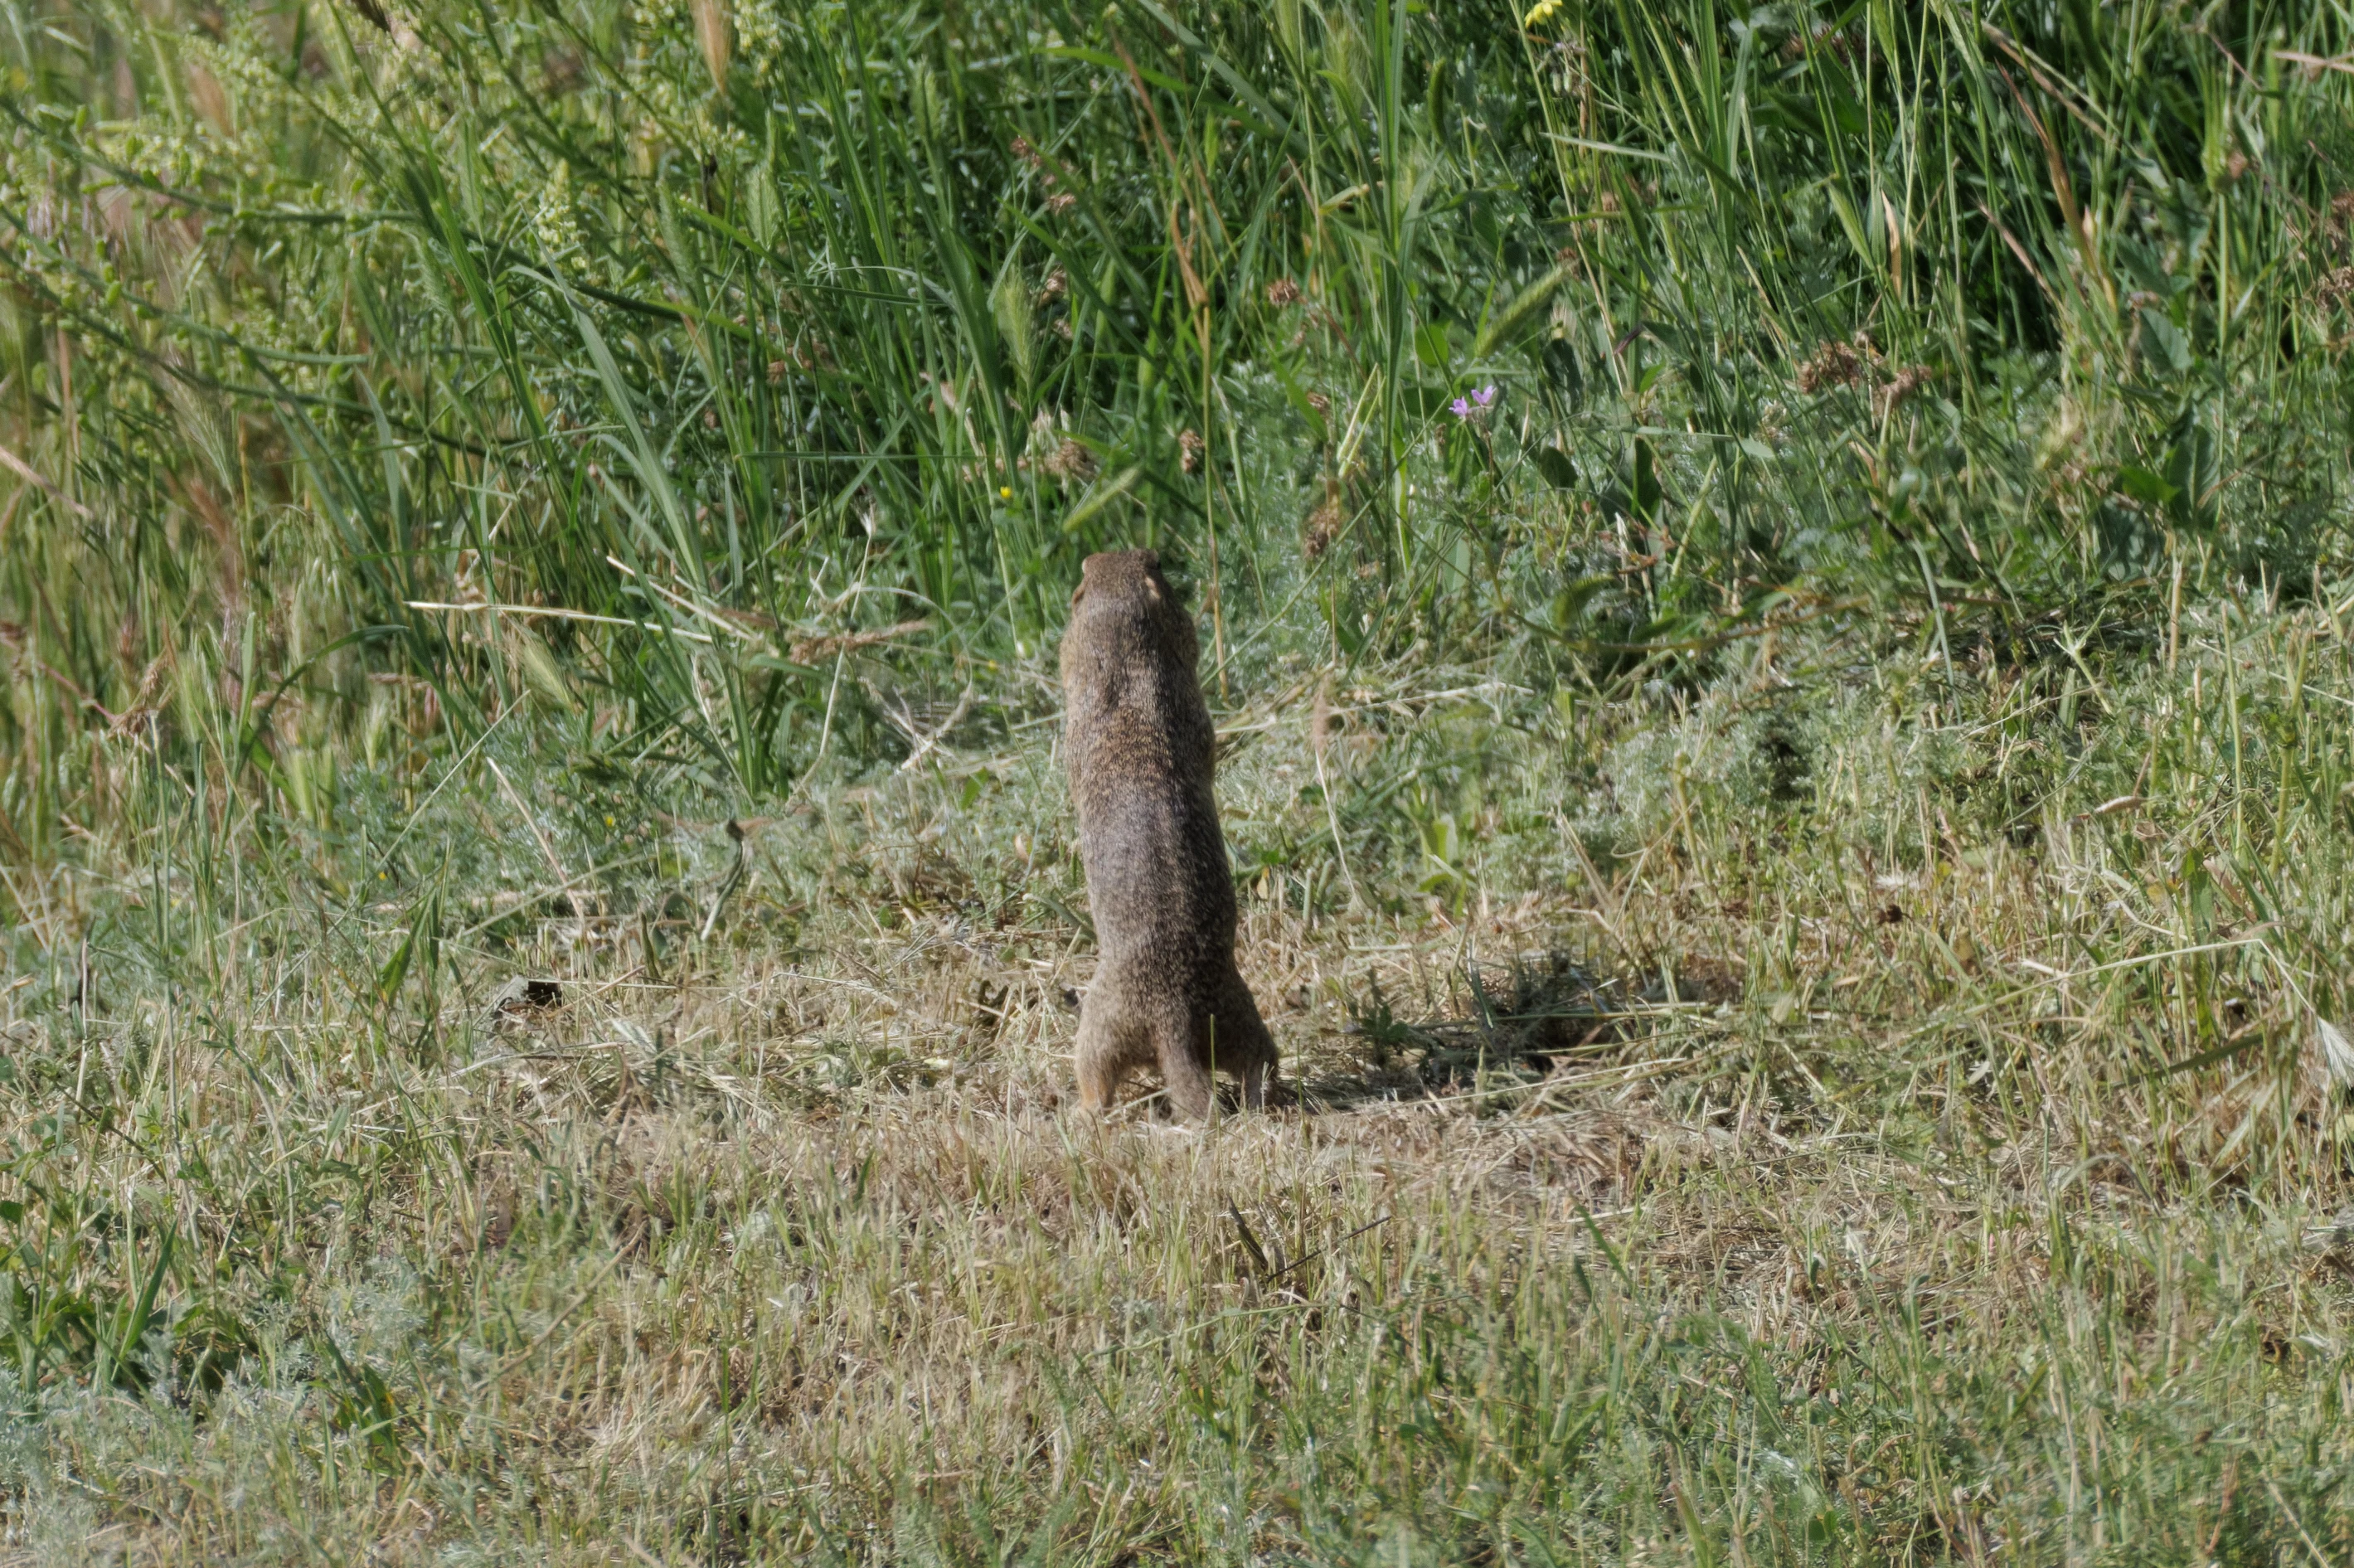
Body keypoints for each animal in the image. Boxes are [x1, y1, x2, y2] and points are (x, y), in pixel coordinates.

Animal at [1059, 549, 1276, 1119]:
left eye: (1081, 579)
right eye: (1154, 562)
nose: (1099, 553)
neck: (1130, 685)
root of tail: (1173, 1015)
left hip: (1099, 1023)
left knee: (1095, 1075)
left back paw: (1079, 1110)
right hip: (1237, 1011)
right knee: (1261, 1057)